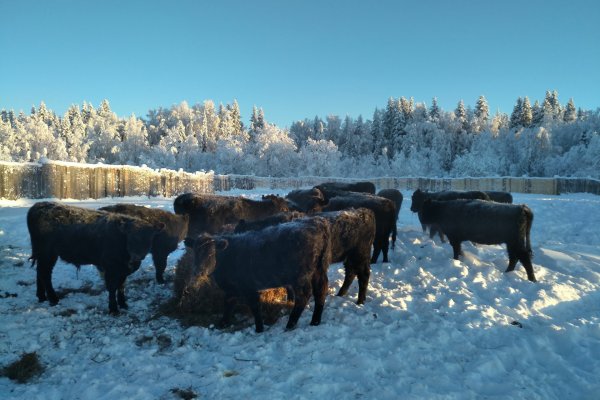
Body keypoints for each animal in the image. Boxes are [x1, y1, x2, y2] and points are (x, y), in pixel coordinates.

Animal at [26, 202, 164, 314]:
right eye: (130, 238)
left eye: (148, 239)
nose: (135, 258)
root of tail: (38, 206)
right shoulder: (111, 268)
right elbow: (112, 287)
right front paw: (113, 309)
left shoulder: (122, 271)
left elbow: (122, 286)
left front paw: (123, 304)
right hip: (47, 254)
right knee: (45, 274)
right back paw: (53, 299)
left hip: (43, 254)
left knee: (40, 273)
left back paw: (42, 297)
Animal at [190, 217, 330, 332]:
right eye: (195, 254)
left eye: (210, 254)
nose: (198, 271)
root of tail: (316, 222)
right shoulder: (232, 289)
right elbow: (229, 304)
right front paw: (223, 323)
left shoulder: (248, 287)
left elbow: (255, 307)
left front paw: (259, 328)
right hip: (319, 269)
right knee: (321, 290)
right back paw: (315, 321)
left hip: (300, 276)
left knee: (303, 296)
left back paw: (290, 324)